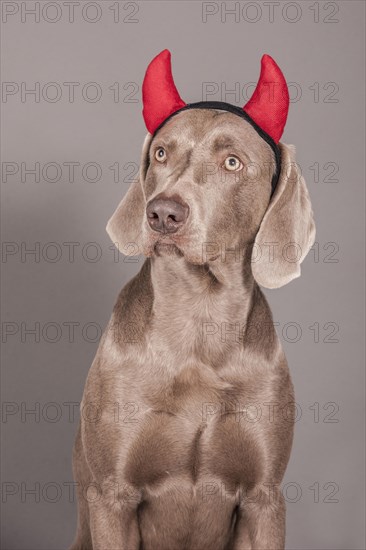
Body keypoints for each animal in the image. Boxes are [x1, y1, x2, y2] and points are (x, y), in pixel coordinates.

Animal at [70, 51, 316, 550]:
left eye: (232, 162)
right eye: (161, 153)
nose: (163, 213)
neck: (200, 318)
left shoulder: (264, 497)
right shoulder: (111, 494)